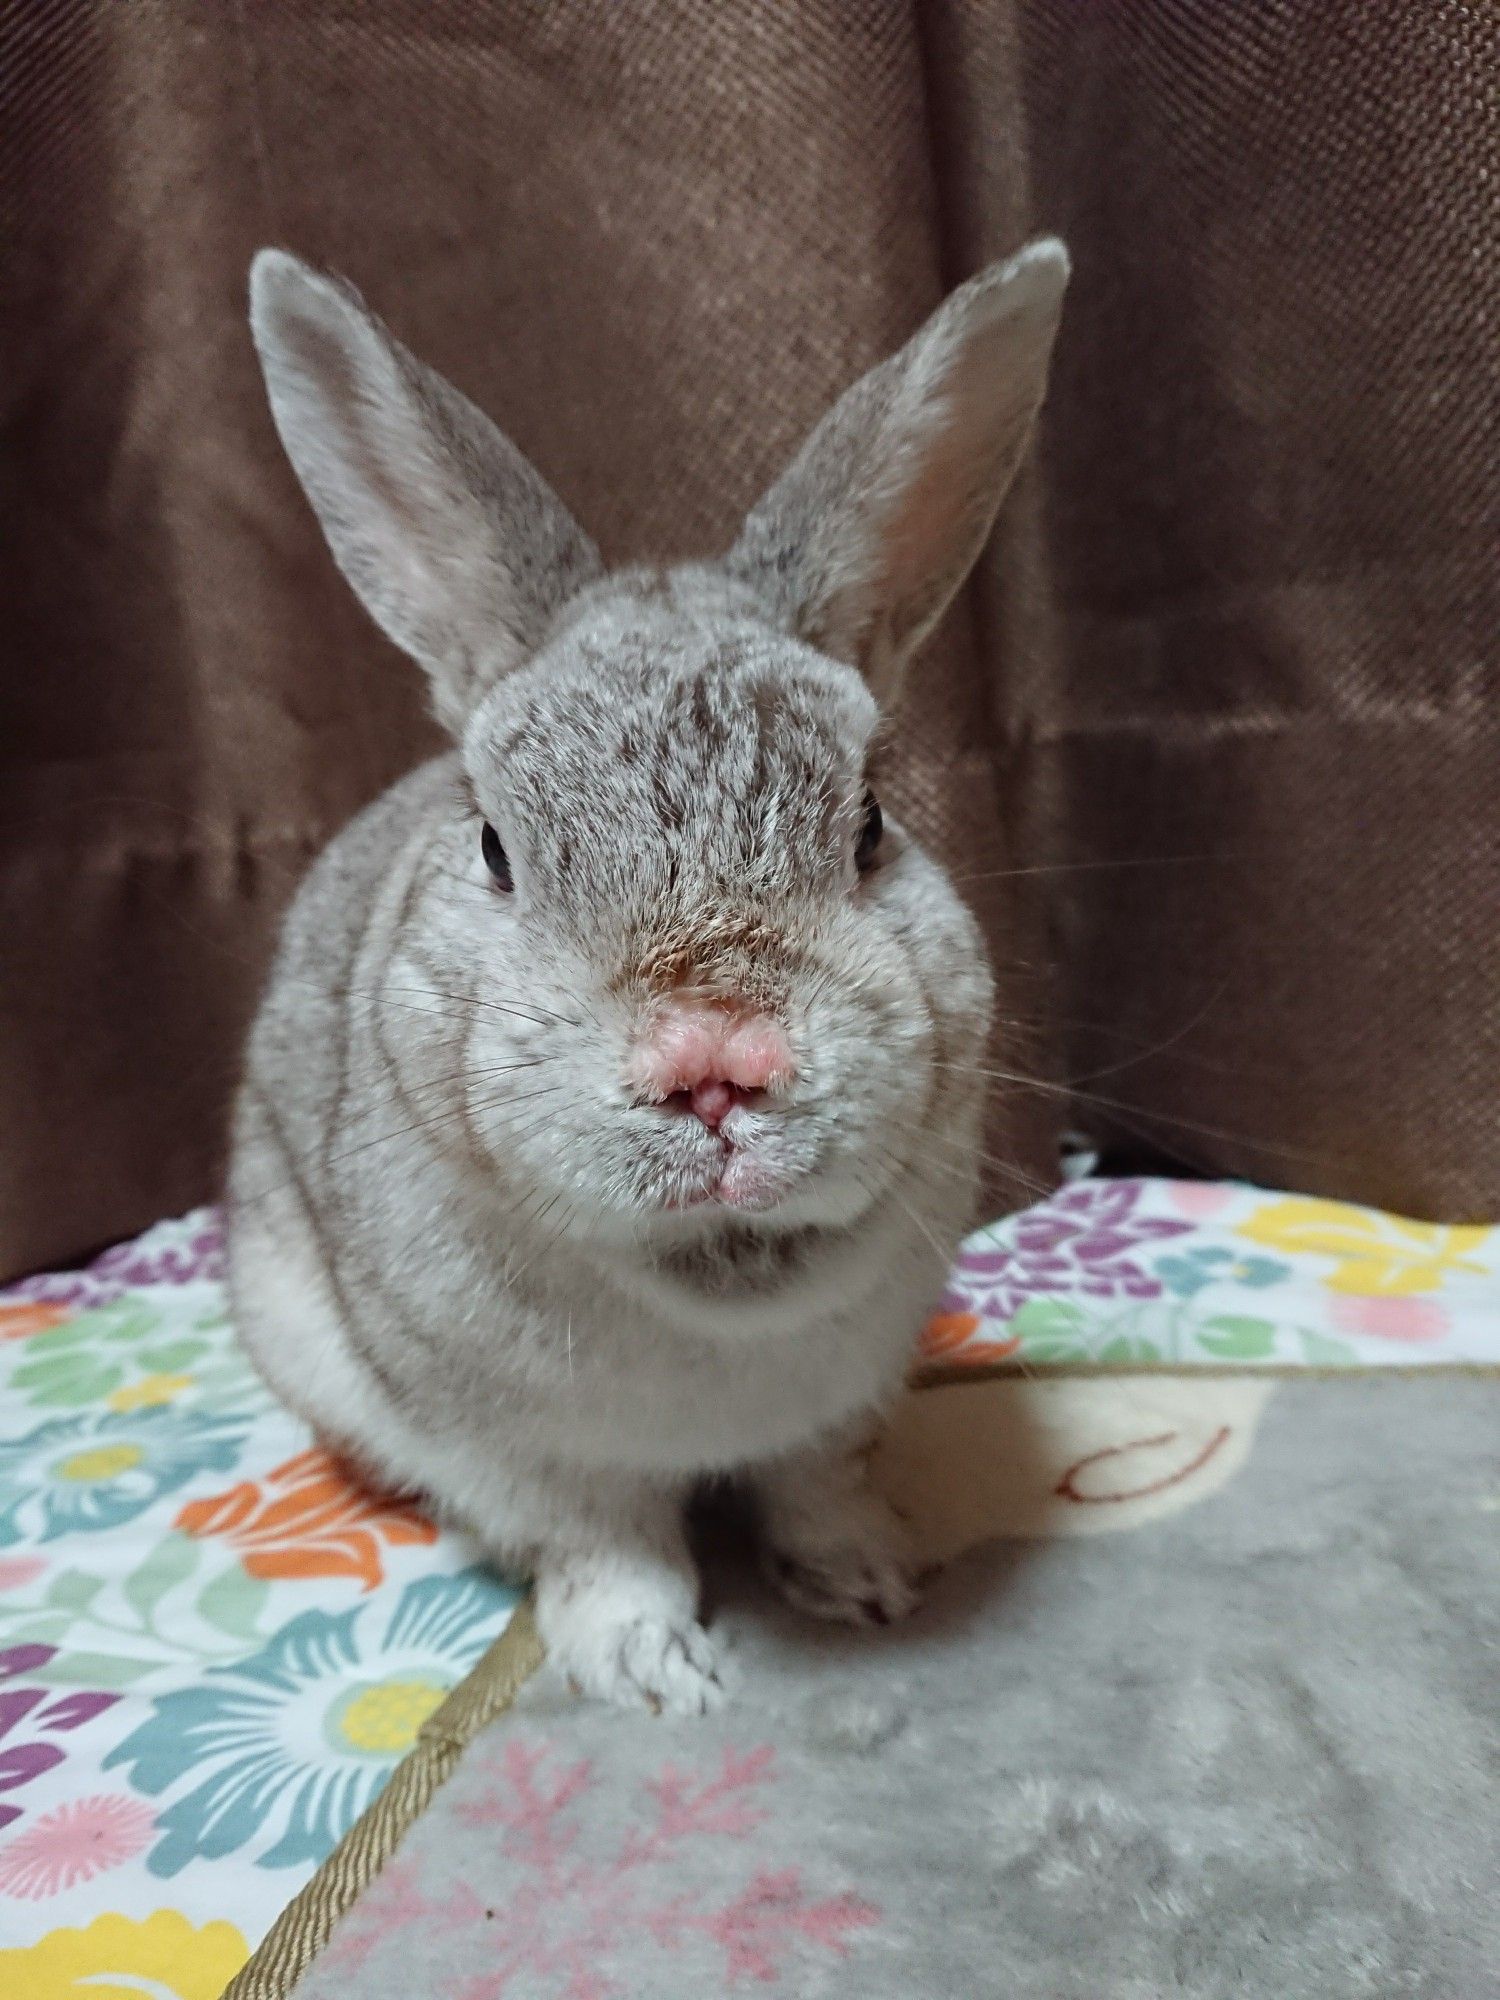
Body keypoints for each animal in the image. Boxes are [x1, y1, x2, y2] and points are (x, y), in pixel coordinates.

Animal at [226, 230, 1072, 1704]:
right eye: (495, 847)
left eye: (869, 825)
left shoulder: (839, 1406)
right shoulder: (522, 1453)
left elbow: (821, 1487)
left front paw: (872, 1581)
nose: (716, 1061)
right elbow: (603, 1544)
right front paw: (652, 1672)